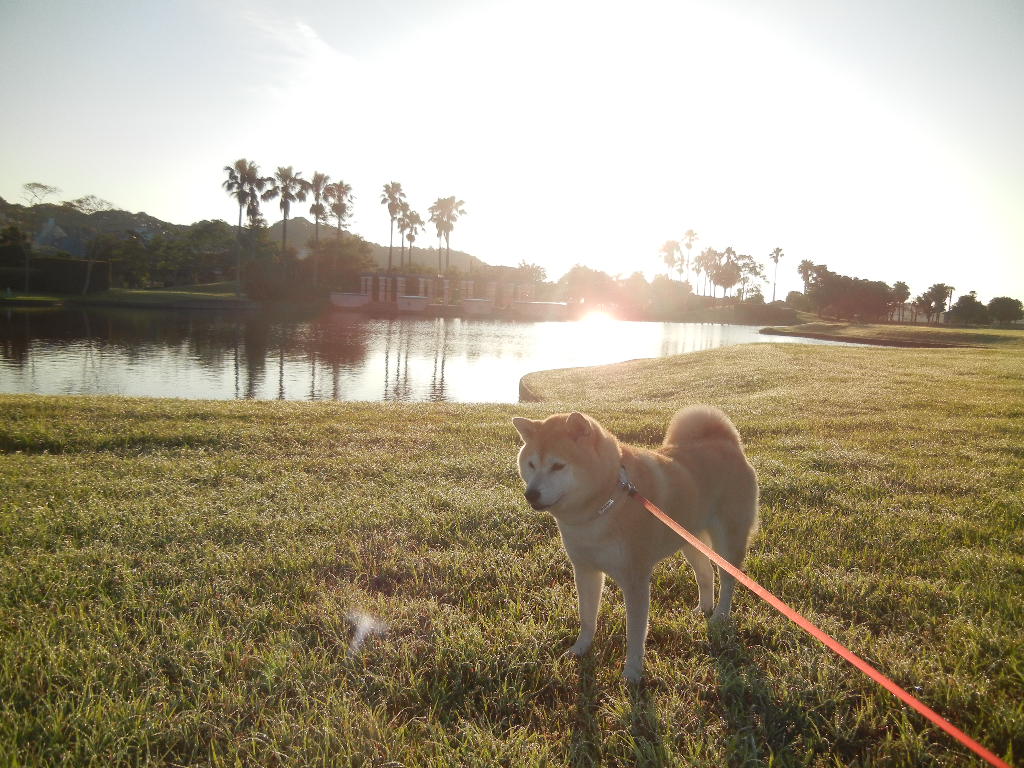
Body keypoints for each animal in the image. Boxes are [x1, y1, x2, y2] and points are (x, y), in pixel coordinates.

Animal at [512, 405, 761, 684]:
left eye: (557, 466)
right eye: (531, 464)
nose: (530, 494)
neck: (605, 504)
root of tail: (727, 442)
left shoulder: (635, 580)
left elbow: (635, 633)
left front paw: (631, 673)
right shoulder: (585, 570)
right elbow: (586, 617)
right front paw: (580, 649)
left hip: (728, 540)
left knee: (728, 579)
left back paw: (720, 616)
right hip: (689, 540)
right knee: (705, 574)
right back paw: (703, 609)